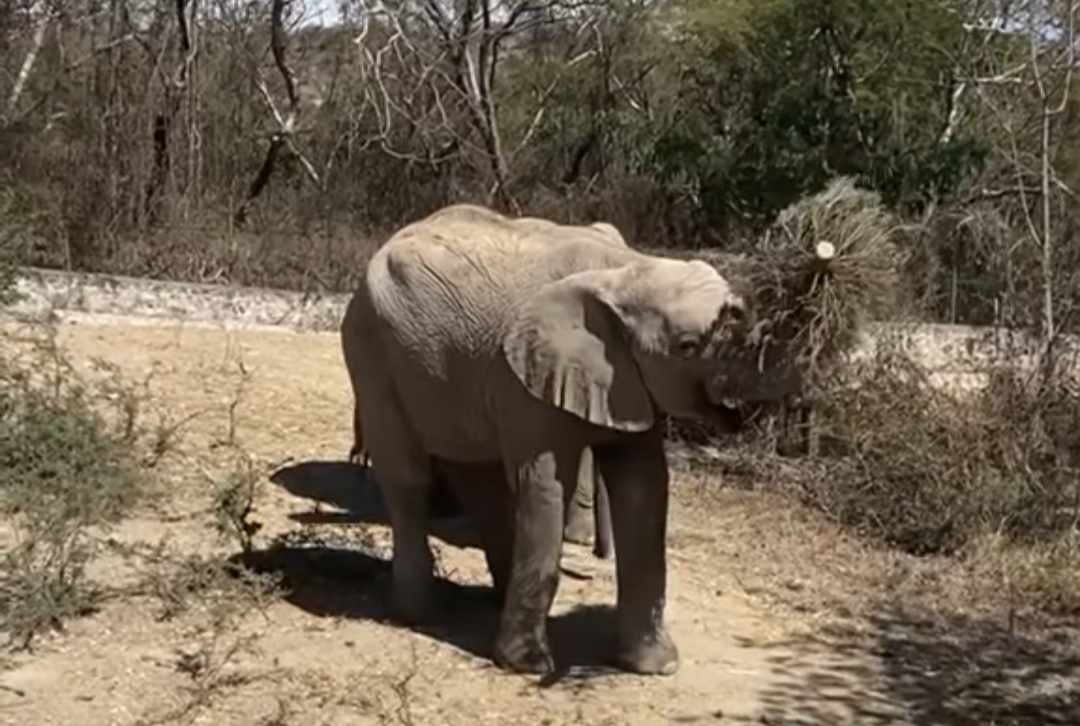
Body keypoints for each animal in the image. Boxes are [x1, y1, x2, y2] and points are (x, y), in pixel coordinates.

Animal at [341, 203, 756, 674]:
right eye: (687, 346)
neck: (628, 270)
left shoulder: (628, 379)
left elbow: (644, 487)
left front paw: (657, 666)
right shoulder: (525, 373)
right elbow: (544, 485)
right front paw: (529, 667)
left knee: (479, 481)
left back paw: (494, 599)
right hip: (371, 349)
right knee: (407, 478)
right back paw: (416, 613)